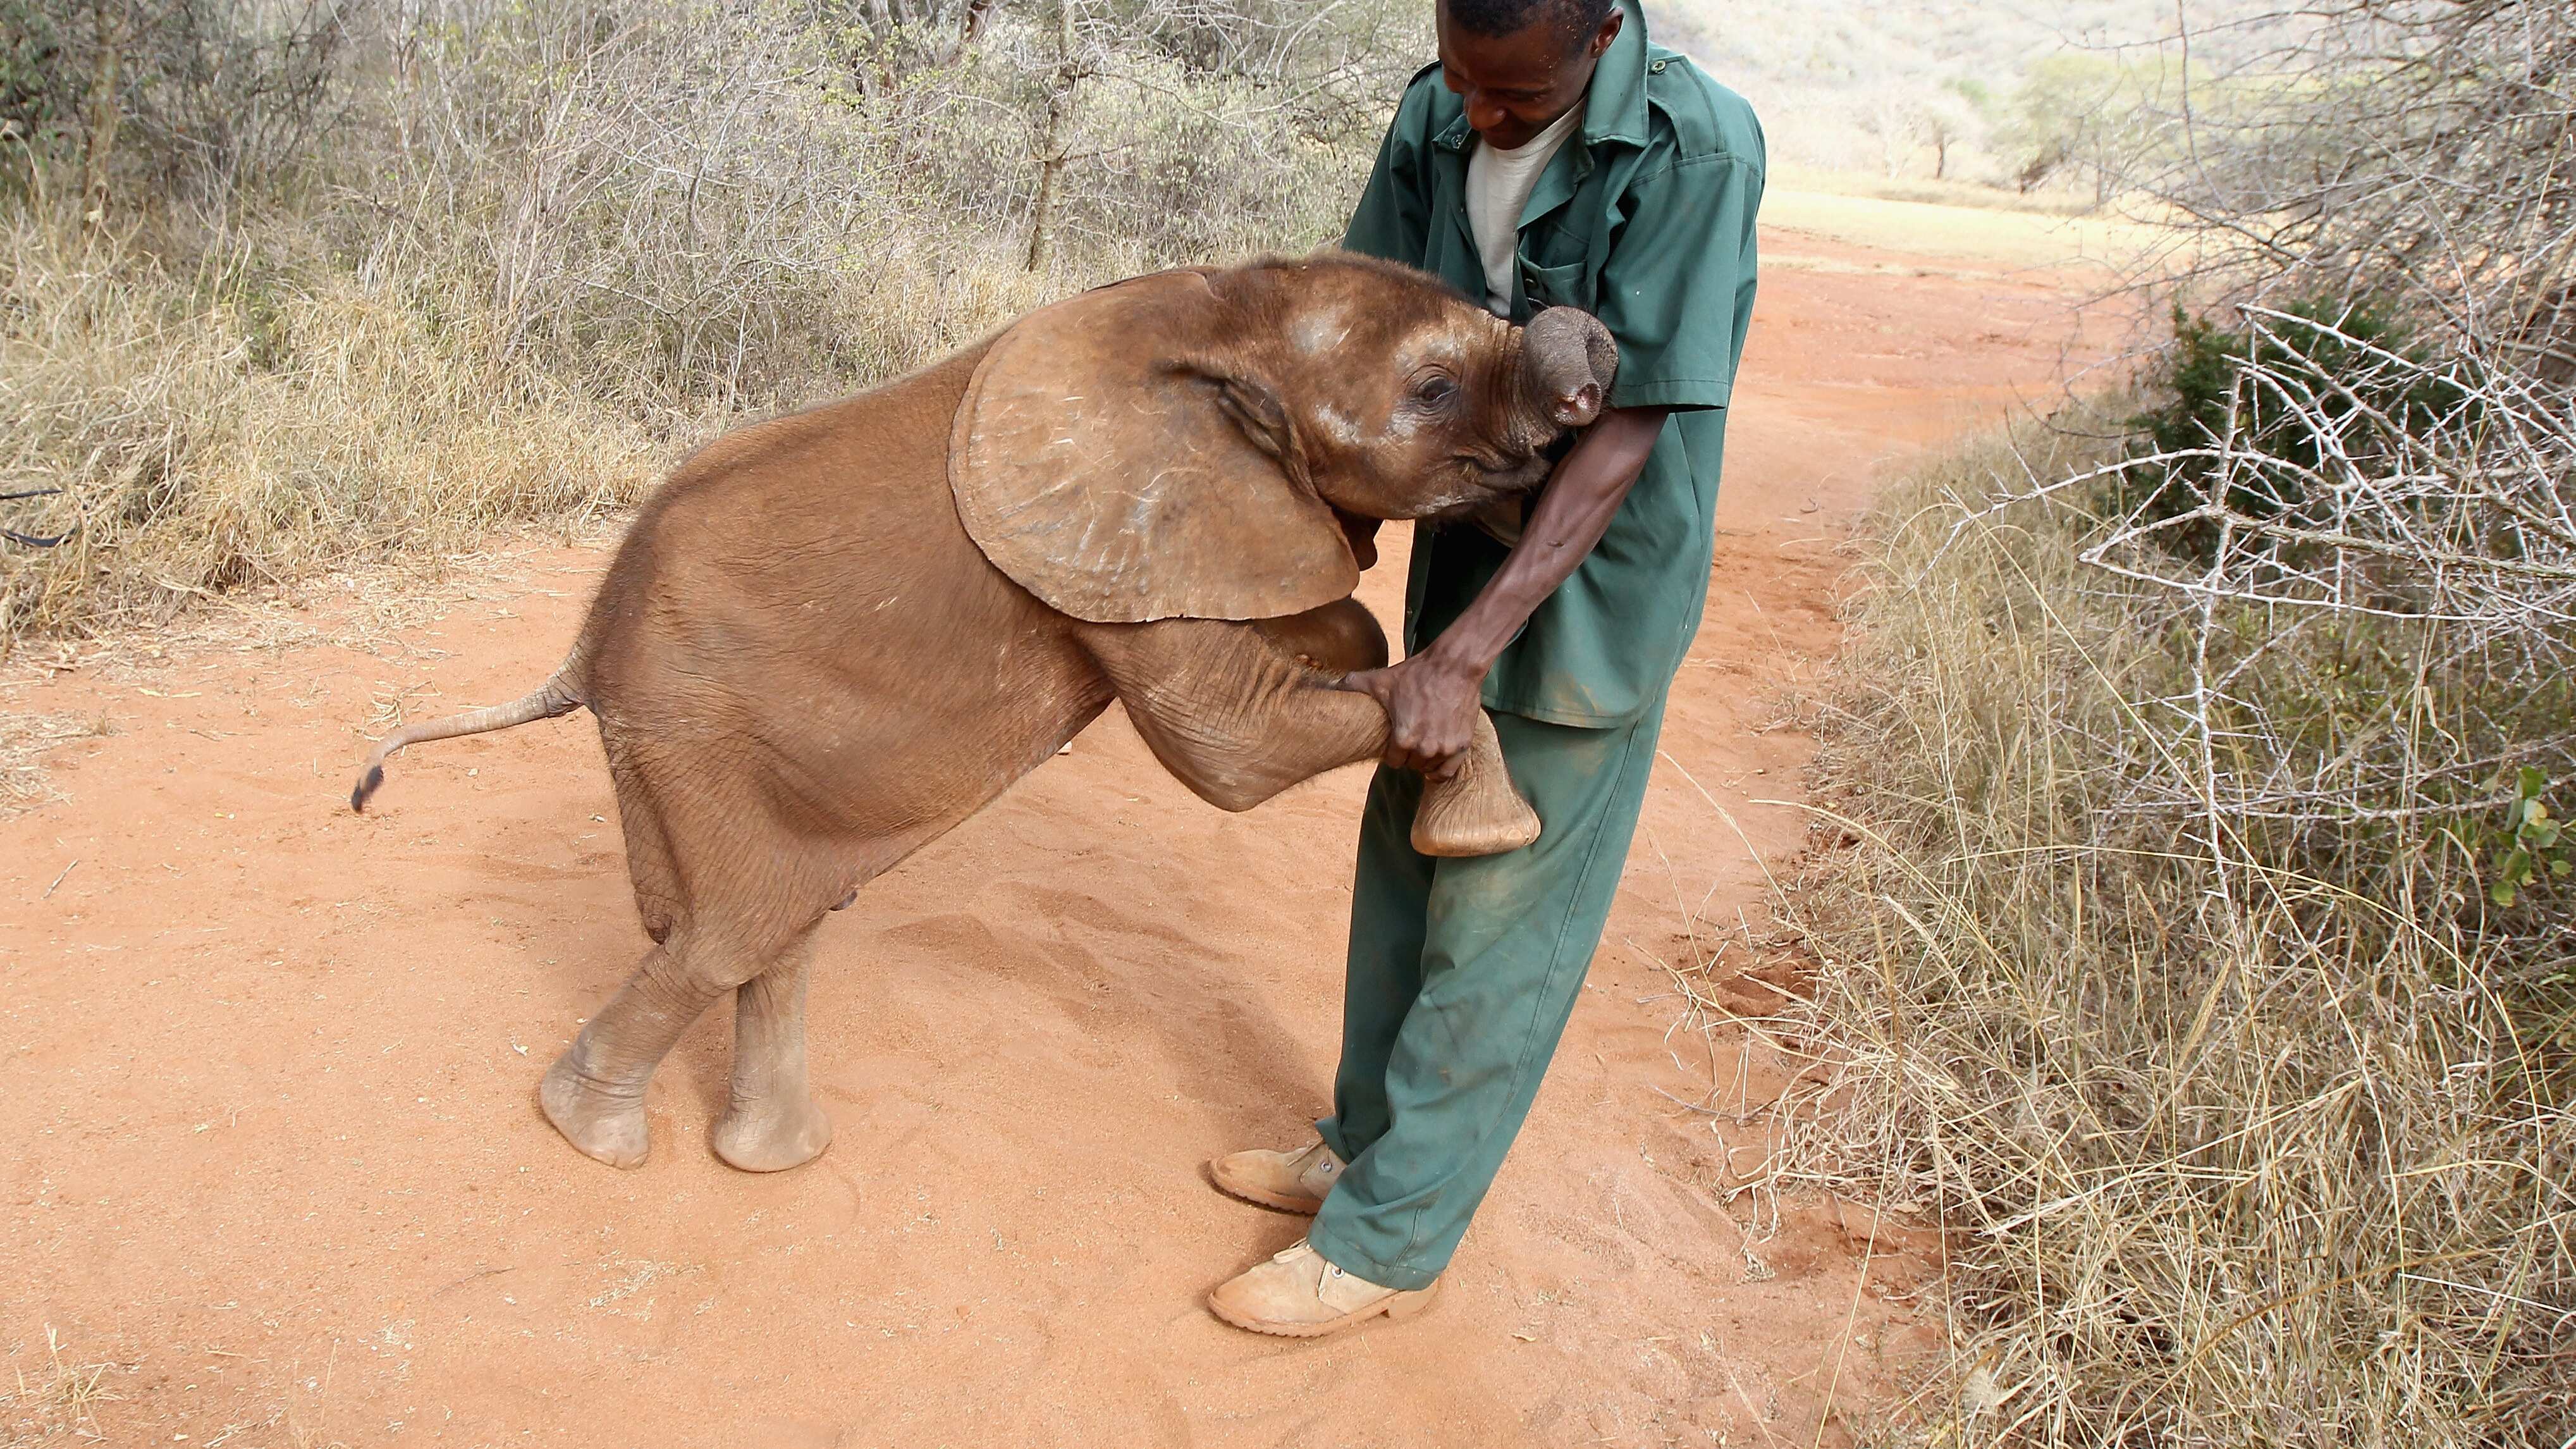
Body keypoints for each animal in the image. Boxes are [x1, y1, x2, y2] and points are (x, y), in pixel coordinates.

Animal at [349, 252, 1618, 1174]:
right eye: (1431, 392)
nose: (1600, 345)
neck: (1234, 310)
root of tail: (583, 645)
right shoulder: (1125, 532)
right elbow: (1223, 749)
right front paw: (1482, 816)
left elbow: (1300, 643)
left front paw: (1366, 656)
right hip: (684, 724)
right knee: (721, 936)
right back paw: (594, 1141)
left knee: (778, 928)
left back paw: (772, 1158)